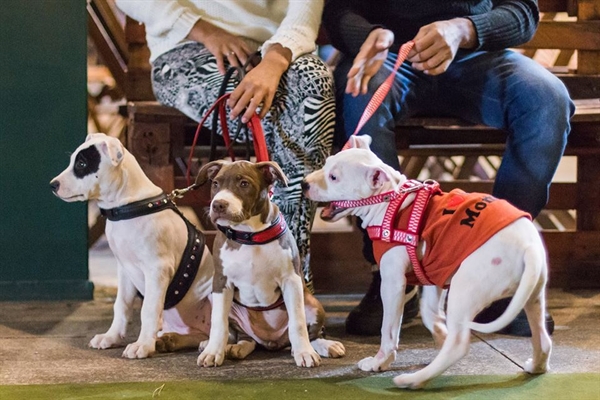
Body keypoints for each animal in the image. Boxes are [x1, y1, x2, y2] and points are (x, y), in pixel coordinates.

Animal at [49, 133, 213, 358]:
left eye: (82, 164)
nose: (52, 185)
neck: (128, 206)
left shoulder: (157, 270)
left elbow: (148, 310)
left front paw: (142, 344)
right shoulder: (125, 269)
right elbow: (122, 305)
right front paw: (111, 337)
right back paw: (172, 340)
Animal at [195, 160, 344, 368]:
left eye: (244, 184)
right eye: (216, 183)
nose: (218, 204)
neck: (249, 234)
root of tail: (271, 342)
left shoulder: (291, 280)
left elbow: (298, 322)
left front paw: (305, 353)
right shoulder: (221, 281)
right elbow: (218, 322)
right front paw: (213, 352)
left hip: (313, 304)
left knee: (311, 334)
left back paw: (323, 346)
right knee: (244, 337)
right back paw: (233, 348)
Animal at [302, 136, 552, 390]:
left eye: (334, 177)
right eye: (326, 164)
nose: (303, 184)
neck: (391, 203)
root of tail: (530, 248)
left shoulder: (393, 282)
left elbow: (389, 329)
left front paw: (379, 362)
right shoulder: (436, 272)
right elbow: (430, 312)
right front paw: (440, 336)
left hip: (466, 287)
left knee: (459, 345)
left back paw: (413, 380)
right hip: (532, 296)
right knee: (543, 339)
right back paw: (535, 366)